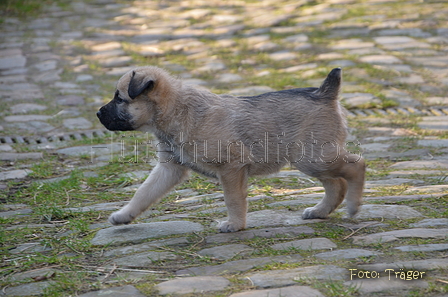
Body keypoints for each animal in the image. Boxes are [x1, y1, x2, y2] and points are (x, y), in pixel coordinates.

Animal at [97, 67, 364, 231]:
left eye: (120, 99)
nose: (98, 113)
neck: (177, 110)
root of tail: (324, 94)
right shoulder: (169, 168)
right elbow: (143, 193)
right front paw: (124, 215)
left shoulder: (231, 168)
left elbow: (233, 199)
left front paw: (235, 225)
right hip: (312, 160)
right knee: (336, 185)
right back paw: (320, 211)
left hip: (313, 158)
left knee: (357, 165)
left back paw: (353, 205)